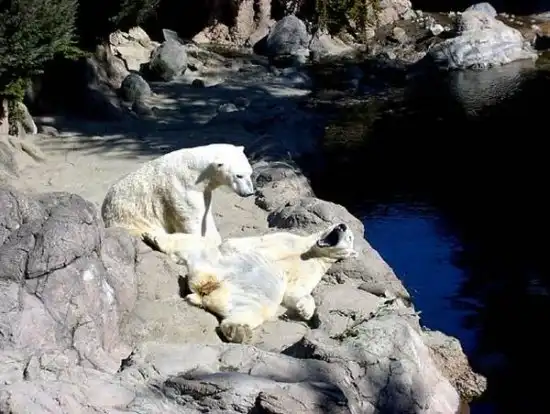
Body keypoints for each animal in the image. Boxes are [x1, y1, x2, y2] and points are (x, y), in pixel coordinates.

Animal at [101, 143, 255, 244]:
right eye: (239, 175)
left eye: (250, 173)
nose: (249, 193)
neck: (194, 170)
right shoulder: (182, 187)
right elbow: (192, 216)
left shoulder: (203, 190)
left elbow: (205, 213)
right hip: (130, 219)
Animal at [143, 222, 357, 344]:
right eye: (338, 224)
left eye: (350, 237)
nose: (343, 225)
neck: (312, 252)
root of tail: (205, 288)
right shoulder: (288, 239)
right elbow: (252, 242)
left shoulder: (314, 269)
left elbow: (295, 291)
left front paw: (305, 310)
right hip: (210, 260)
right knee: (195, 243)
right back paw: (154, 237)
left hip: (249, 296)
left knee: (251, 311)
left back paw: (237, 331)